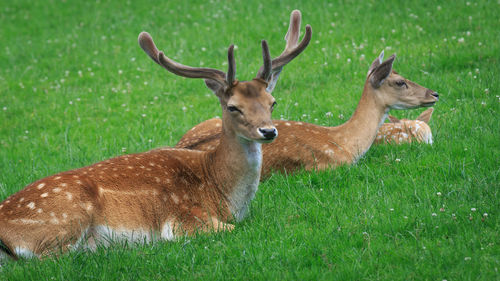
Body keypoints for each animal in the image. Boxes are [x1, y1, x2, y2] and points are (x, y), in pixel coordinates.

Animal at [0, 10, 312, 260]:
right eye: (233, 107)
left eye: (272, 102)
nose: (268, 131)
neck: (224, 193)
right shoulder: (185, 218)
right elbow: (229, 229)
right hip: (65, 217)